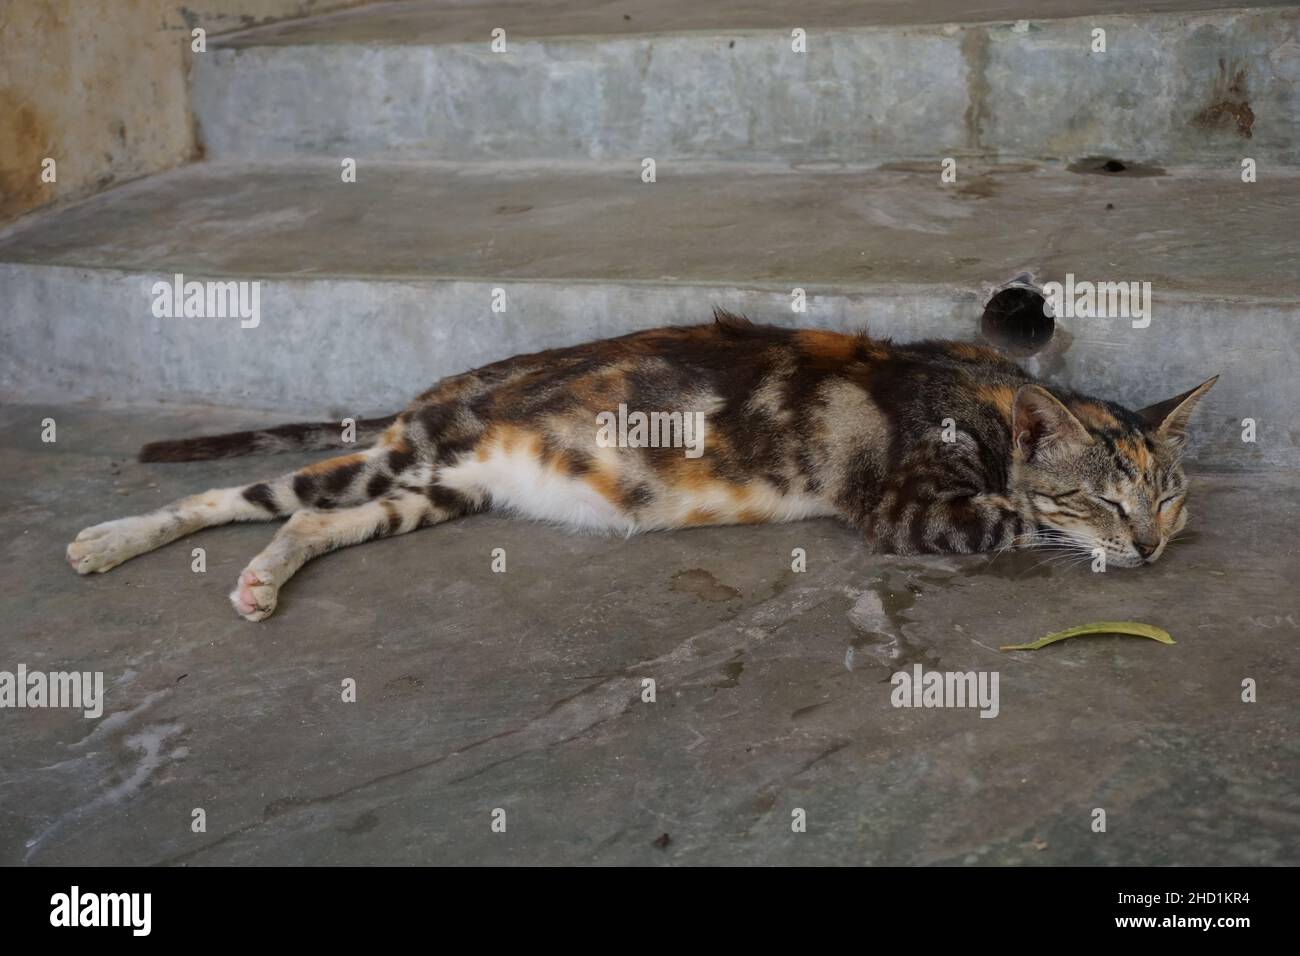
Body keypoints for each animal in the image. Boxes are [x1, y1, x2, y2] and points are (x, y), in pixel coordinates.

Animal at [63, 314, 1216, 624]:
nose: (1155, 541)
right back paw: (107, 538)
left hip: (432, 492)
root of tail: (441, 389)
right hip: (403, 456)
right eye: (1105, 496)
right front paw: (1079, 539)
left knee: (302, 522)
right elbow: (1019, 518)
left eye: (1167, 493)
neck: (976, 391)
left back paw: (259, 580)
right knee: (233, 495)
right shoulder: (913, 509)